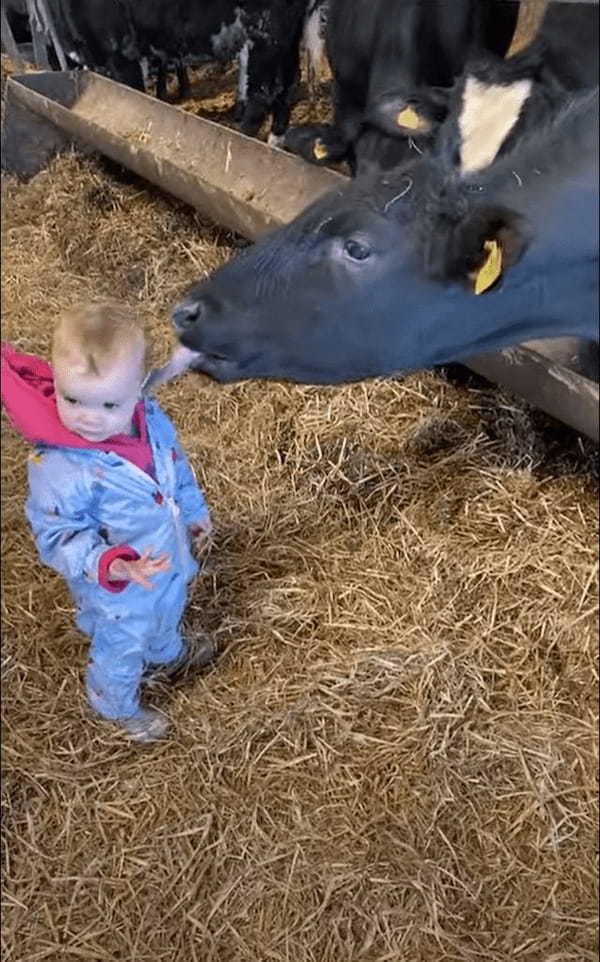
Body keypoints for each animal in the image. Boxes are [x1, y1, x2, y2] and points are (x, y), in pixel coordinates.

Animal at [42, 0, 314, 139]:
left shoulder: (121, 53)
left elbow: (134, 97)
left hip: (266, 33)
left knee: (262, 94)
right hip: (287, 39)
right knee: (287, 87)